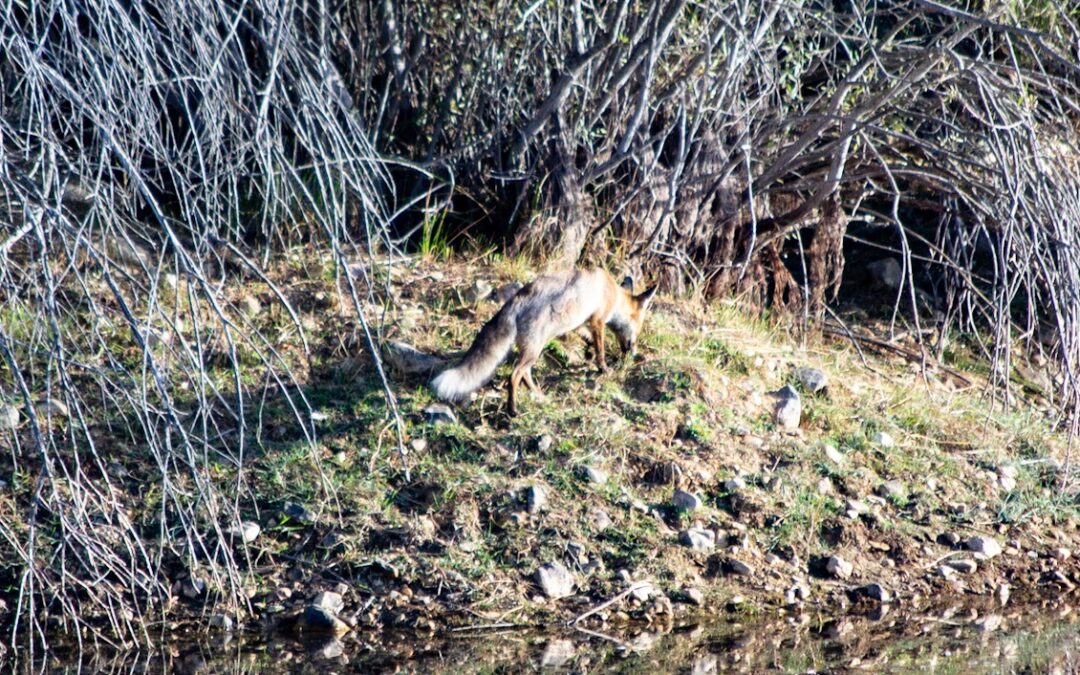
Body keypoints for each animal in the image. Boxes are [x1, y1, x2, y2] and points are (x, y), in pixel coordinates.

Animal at [432, 265, 656, 412]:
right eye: (639, 327)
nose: (633, 352)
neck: (614, 294)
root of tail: (516, 299)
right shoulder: (597, 321)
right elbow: (600, 348)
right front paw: (603, 367)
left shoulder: (580, 323)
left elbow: (588, 339)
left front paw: (588, 354)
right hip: (534, 349)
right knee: (515, 375)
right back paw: (512, 410)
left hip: (533, 350)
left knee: (525, 374)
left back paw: (538, 396)